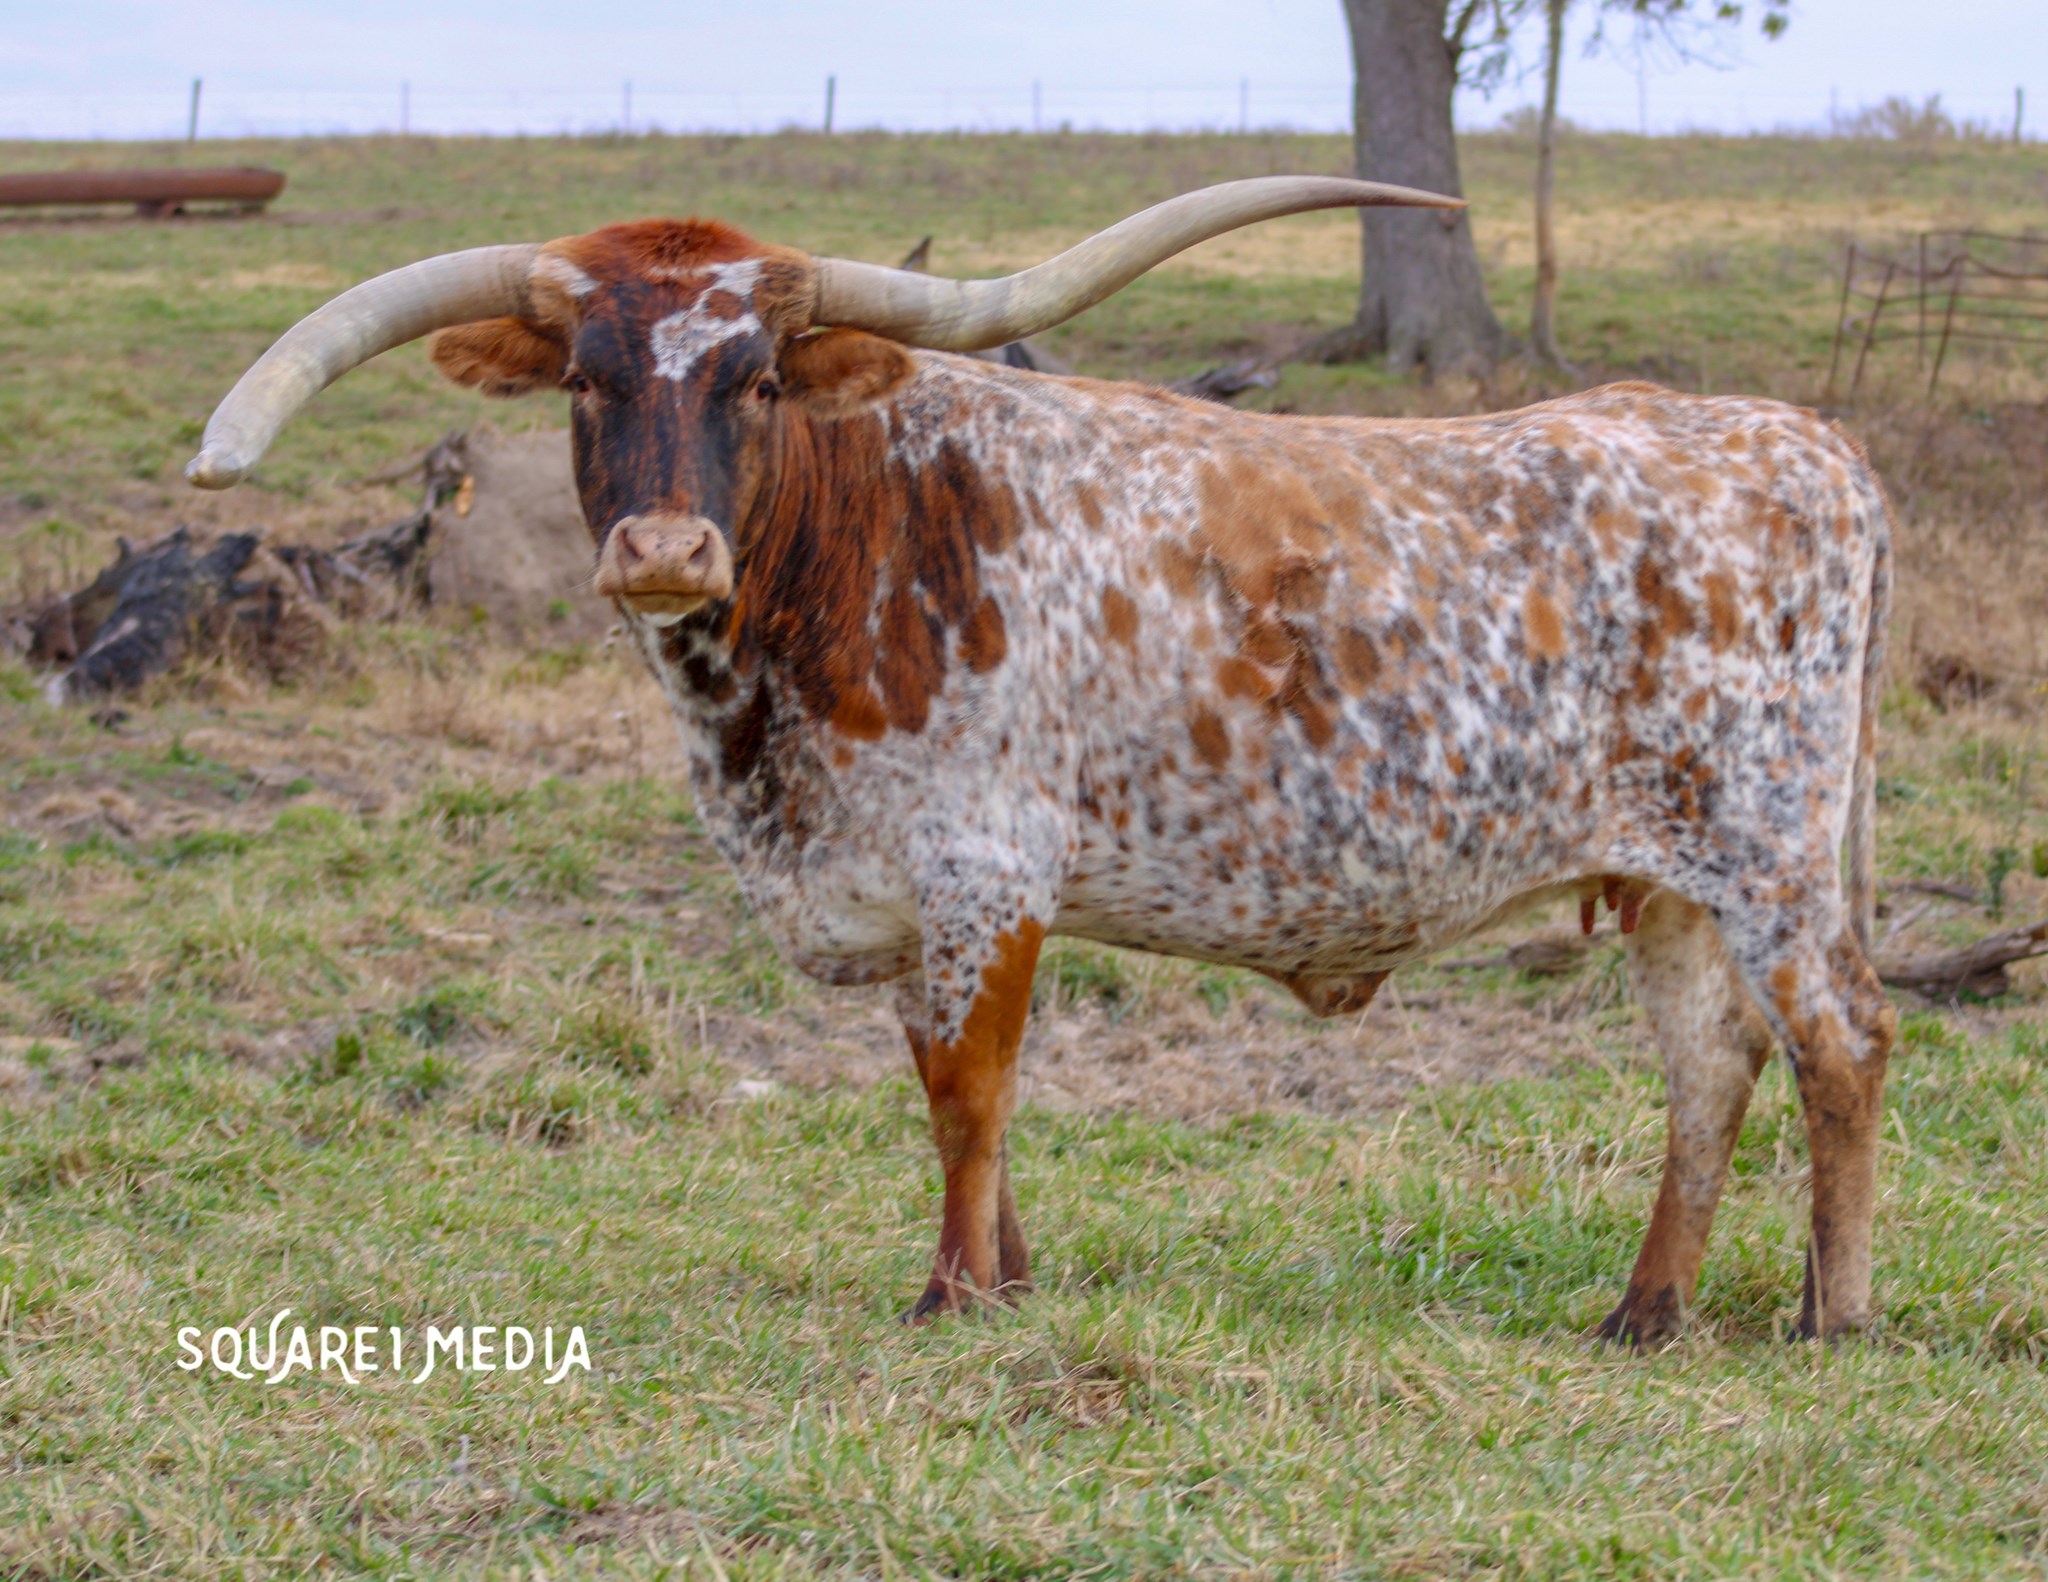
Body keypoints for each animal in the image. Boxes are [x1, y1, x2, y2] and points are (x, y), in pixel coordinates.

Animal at [187, 177, 1897, 1345]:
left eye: (756, 378)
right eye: (585, 379)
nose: (664, 551)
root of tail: (1810, 438)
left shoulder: (984, 869)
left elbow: (969, 1092)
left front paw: (952, 1296)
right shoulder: (902, 890)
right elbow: (952, 1088)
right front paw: (1005, 1281)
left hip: (1773, 852)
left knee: (1841, 1041)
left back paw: (1834, 1314)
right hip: (1665, 872)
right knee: (1711, 1063)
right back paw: (1645, 1314)